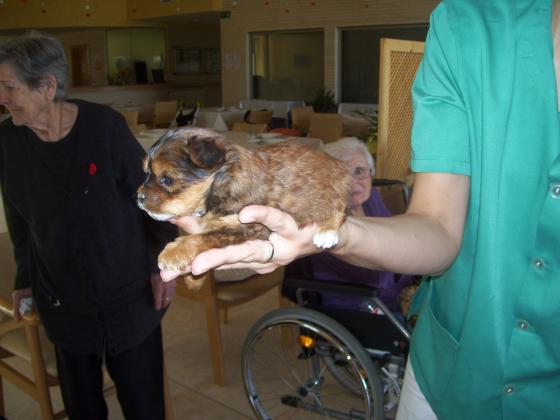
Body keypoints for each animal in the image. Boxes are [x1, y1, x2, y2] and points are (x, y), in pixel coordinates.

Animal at [137, 127, 352, 289]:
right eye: (146, 173)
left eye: (166, 179)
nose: (139, 197)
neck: (222, 181)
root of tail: (338, 163)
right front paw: (194, 279)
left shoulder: (250, 225)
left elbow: (205, 237)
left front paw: (173, 252)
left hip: (338, 187)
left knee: (339, 208)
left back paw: (327, 233)